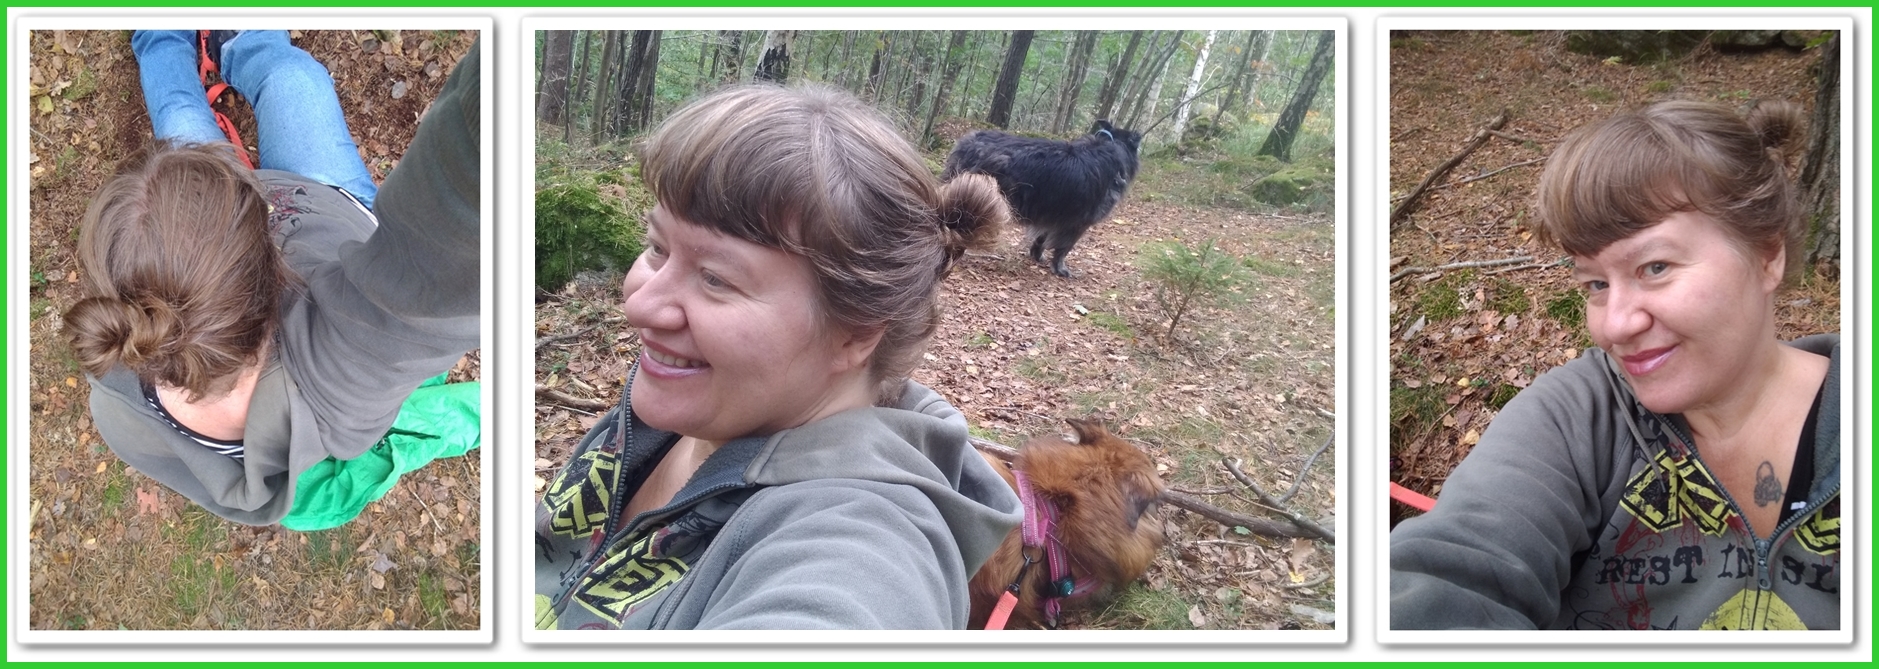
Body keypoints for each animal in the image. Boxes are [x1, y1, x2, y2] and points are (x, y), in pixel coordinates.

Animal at [942, 120, 1142, 278]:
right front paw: (1060, 269)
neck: (1114, 147)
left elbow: (1041, 239)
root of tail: (969, 143)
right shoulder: (1076, 225)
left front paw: (1037, 256)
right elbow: (1063, 249)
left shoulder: (1052, 218)